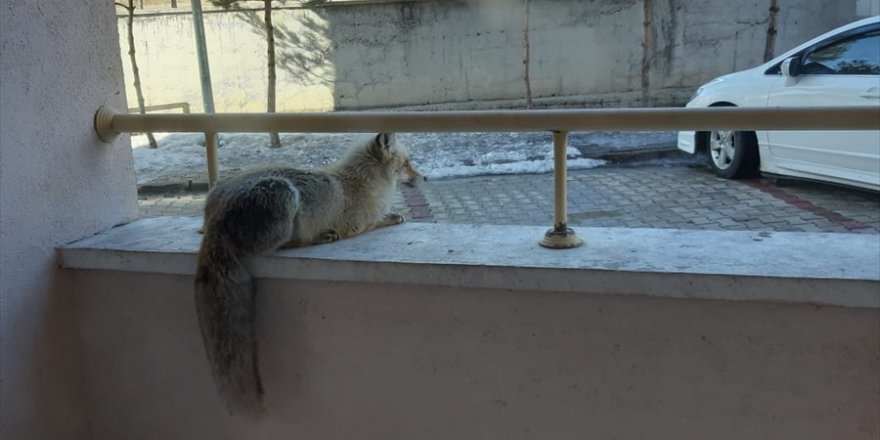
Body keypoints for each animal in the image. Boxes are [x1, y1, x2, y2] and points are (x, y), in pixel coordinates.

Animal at [193, 132, 426, 418]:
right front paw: (392, 216)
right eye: (407, 164)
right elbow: (376, 221)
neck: (362, 182)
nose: (424, 178)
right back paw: (319, 238)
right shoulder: (357, 226)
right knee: (281, 246)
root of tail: (216, 214)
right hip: (282, 194)